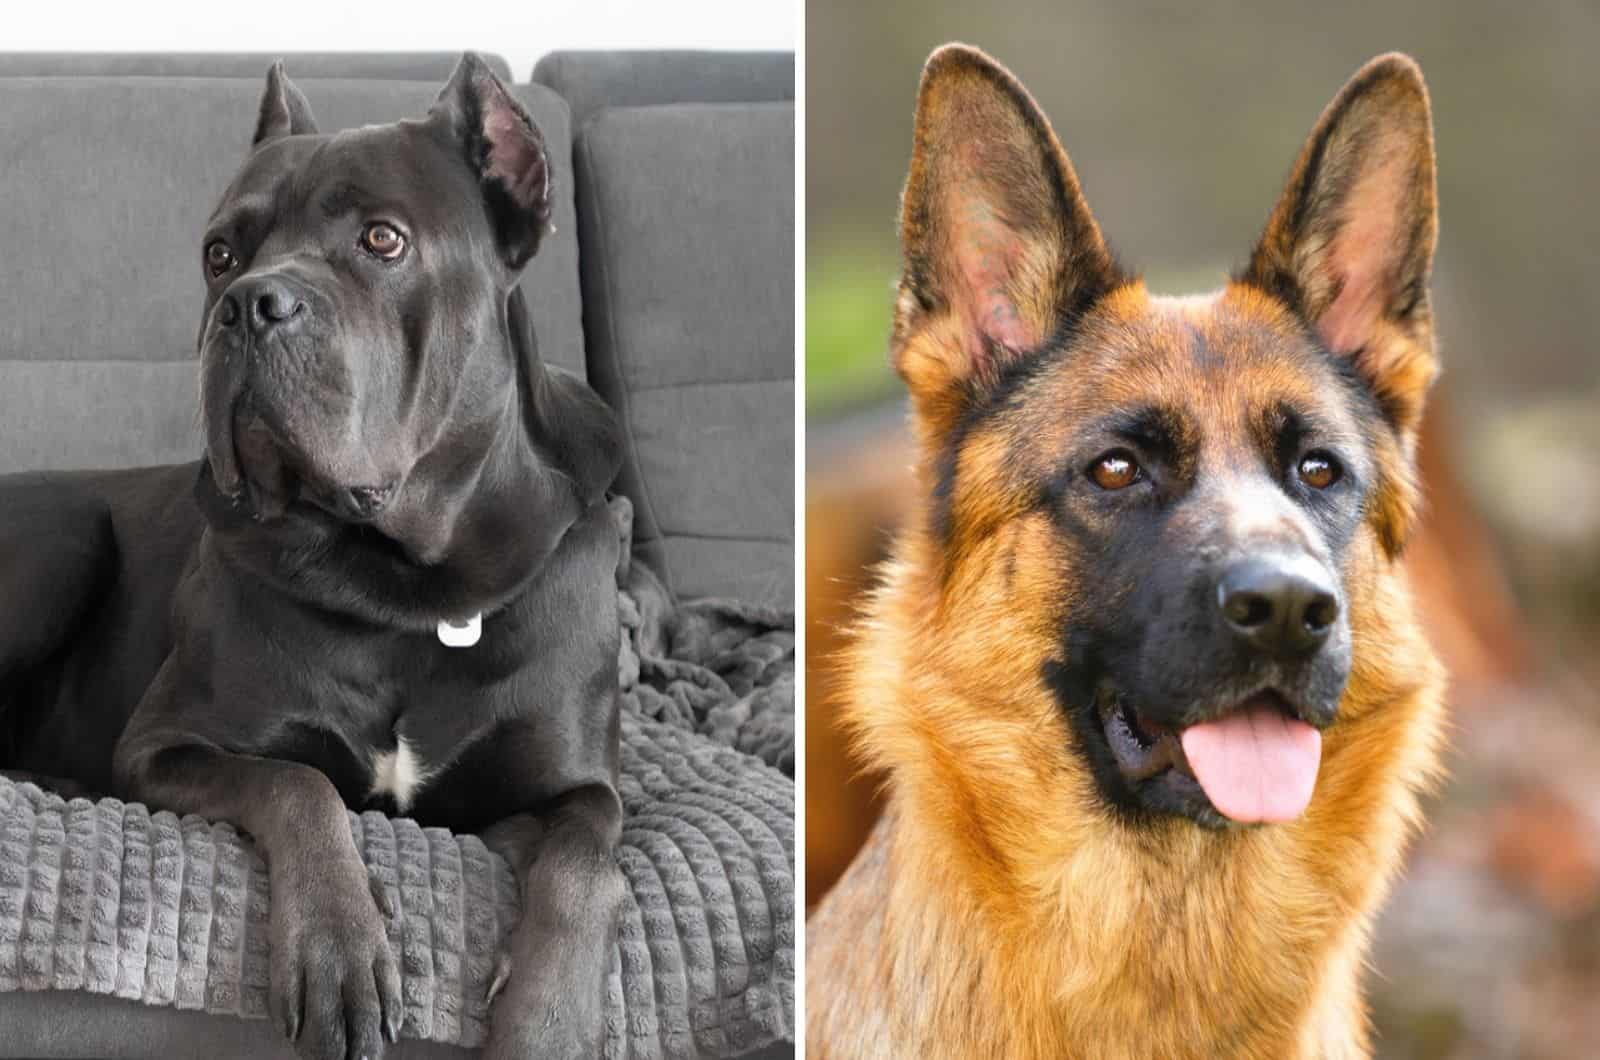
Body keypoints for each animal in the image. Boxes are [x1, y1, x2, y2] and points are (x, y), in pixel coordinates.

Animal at [0, 58, 624, 1060]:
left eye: (383, 240)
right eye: (219, 254)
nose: (249, 304)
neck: (409, 583)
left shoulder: (577, 784)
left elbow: (586, 861)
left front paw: (548, 1025)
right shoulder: (167, 740)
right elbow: (297, 783)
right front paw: (337, 946)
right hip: (63, 532)